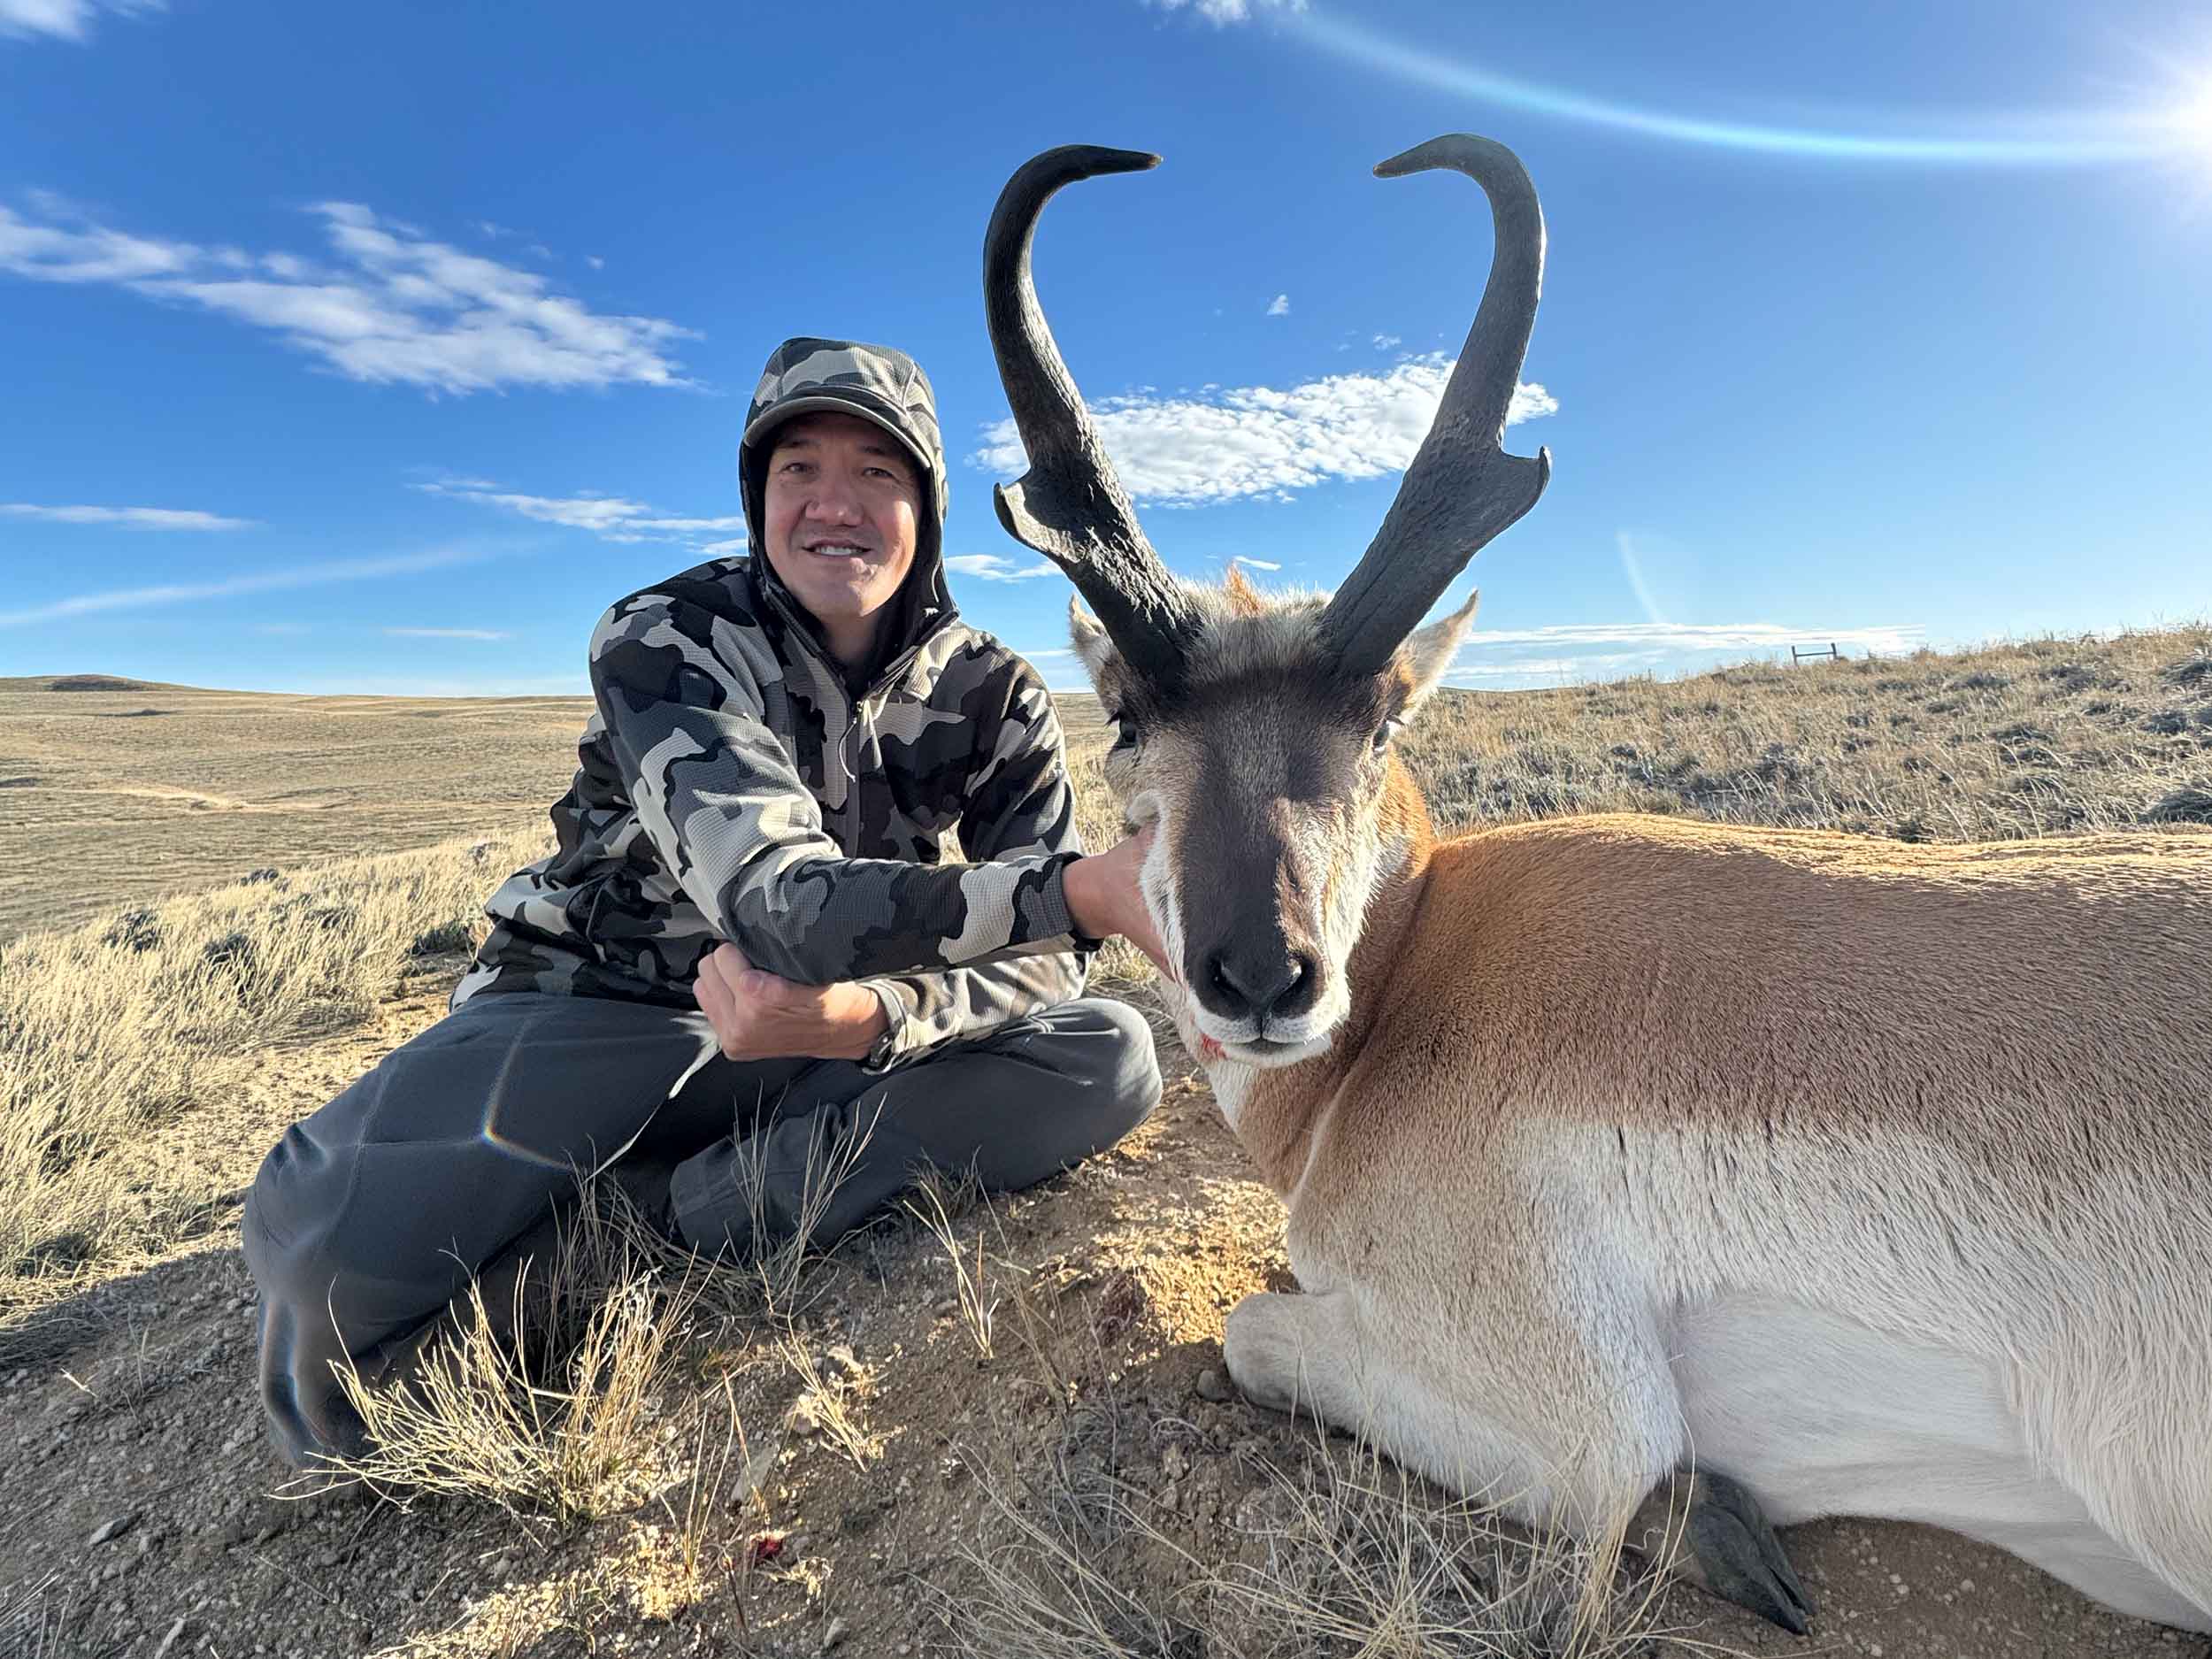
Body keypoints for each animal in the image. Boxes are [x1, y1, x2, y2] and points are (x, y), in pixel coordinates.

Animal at [981, 135, 2212, 1635]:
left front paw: (1718, 1525)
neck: (1421, 975)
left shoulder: (1579, 1412)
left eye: (1382, 724)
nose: (1265, 975)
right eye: (1123, 721)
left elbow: (1257, 1326)